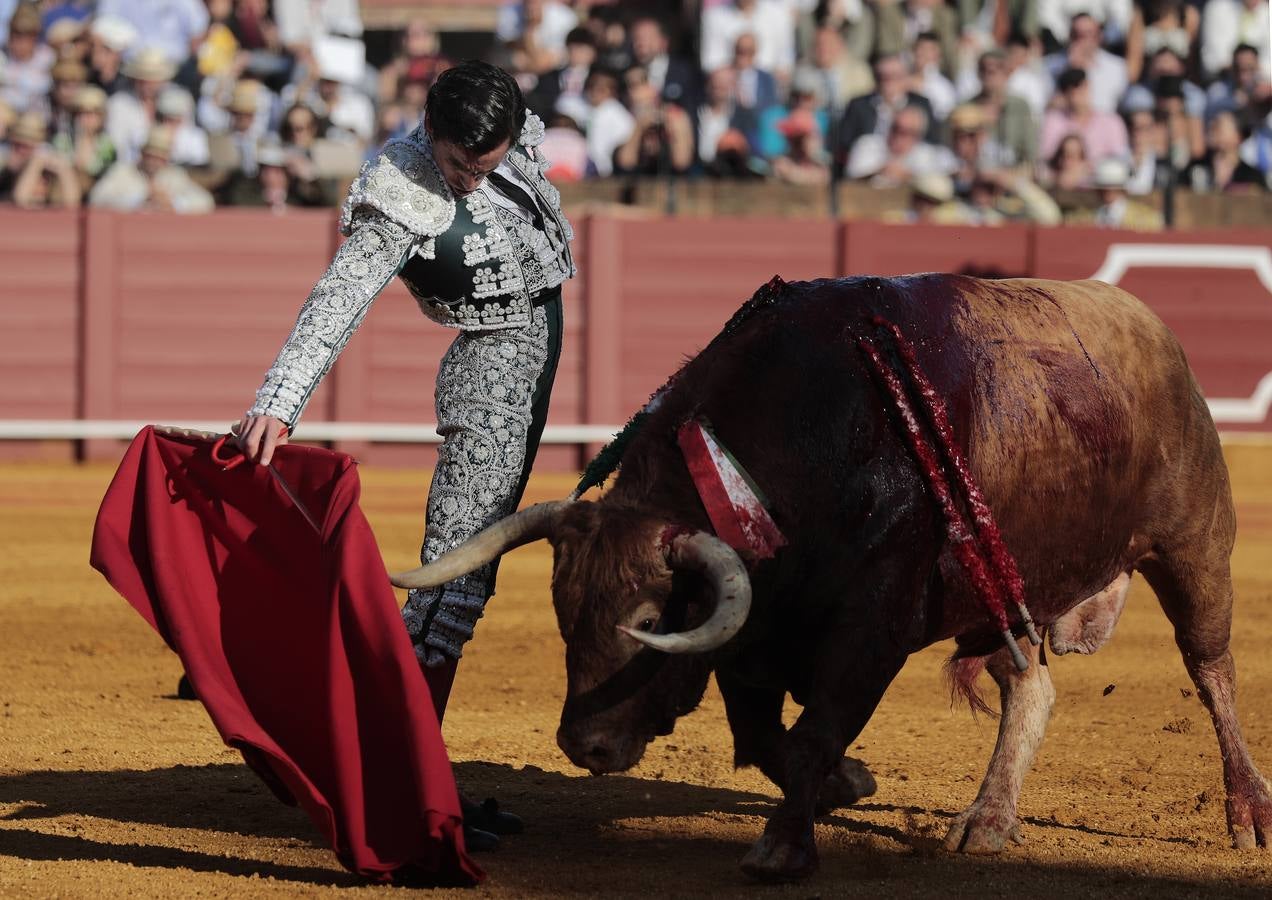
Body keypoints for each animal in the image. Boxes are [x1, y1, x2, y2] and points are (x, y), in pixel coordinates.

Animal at [391, 272, 1266, 879]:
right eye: (565, 612)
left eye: (652, 622)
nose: (584, 745)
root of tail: (1151, 327)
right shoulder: (752, 638)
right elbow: (767, 741)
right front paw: (849, 783)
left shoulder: (869, 631)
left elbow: (812, 731)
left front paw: (783, 847)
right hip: (1006, 586)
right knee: (1031, 683)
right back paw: (988, 819)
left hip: (1194, 545)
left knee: (1211, 668)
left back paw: (1248, 814)